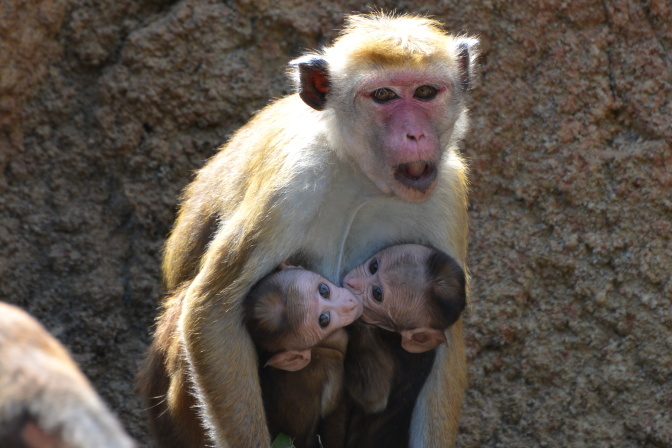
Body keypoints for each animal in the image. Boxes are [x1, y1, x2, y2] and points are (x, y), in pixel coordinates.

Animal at [153, 10, 478, 448]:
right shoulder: (290, 186)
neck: (362, 176)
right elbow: (212, 312)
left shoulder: (445, 190)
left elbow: (444, 333)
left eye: (426, 92)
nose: (416, 133)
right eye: (383, 96)